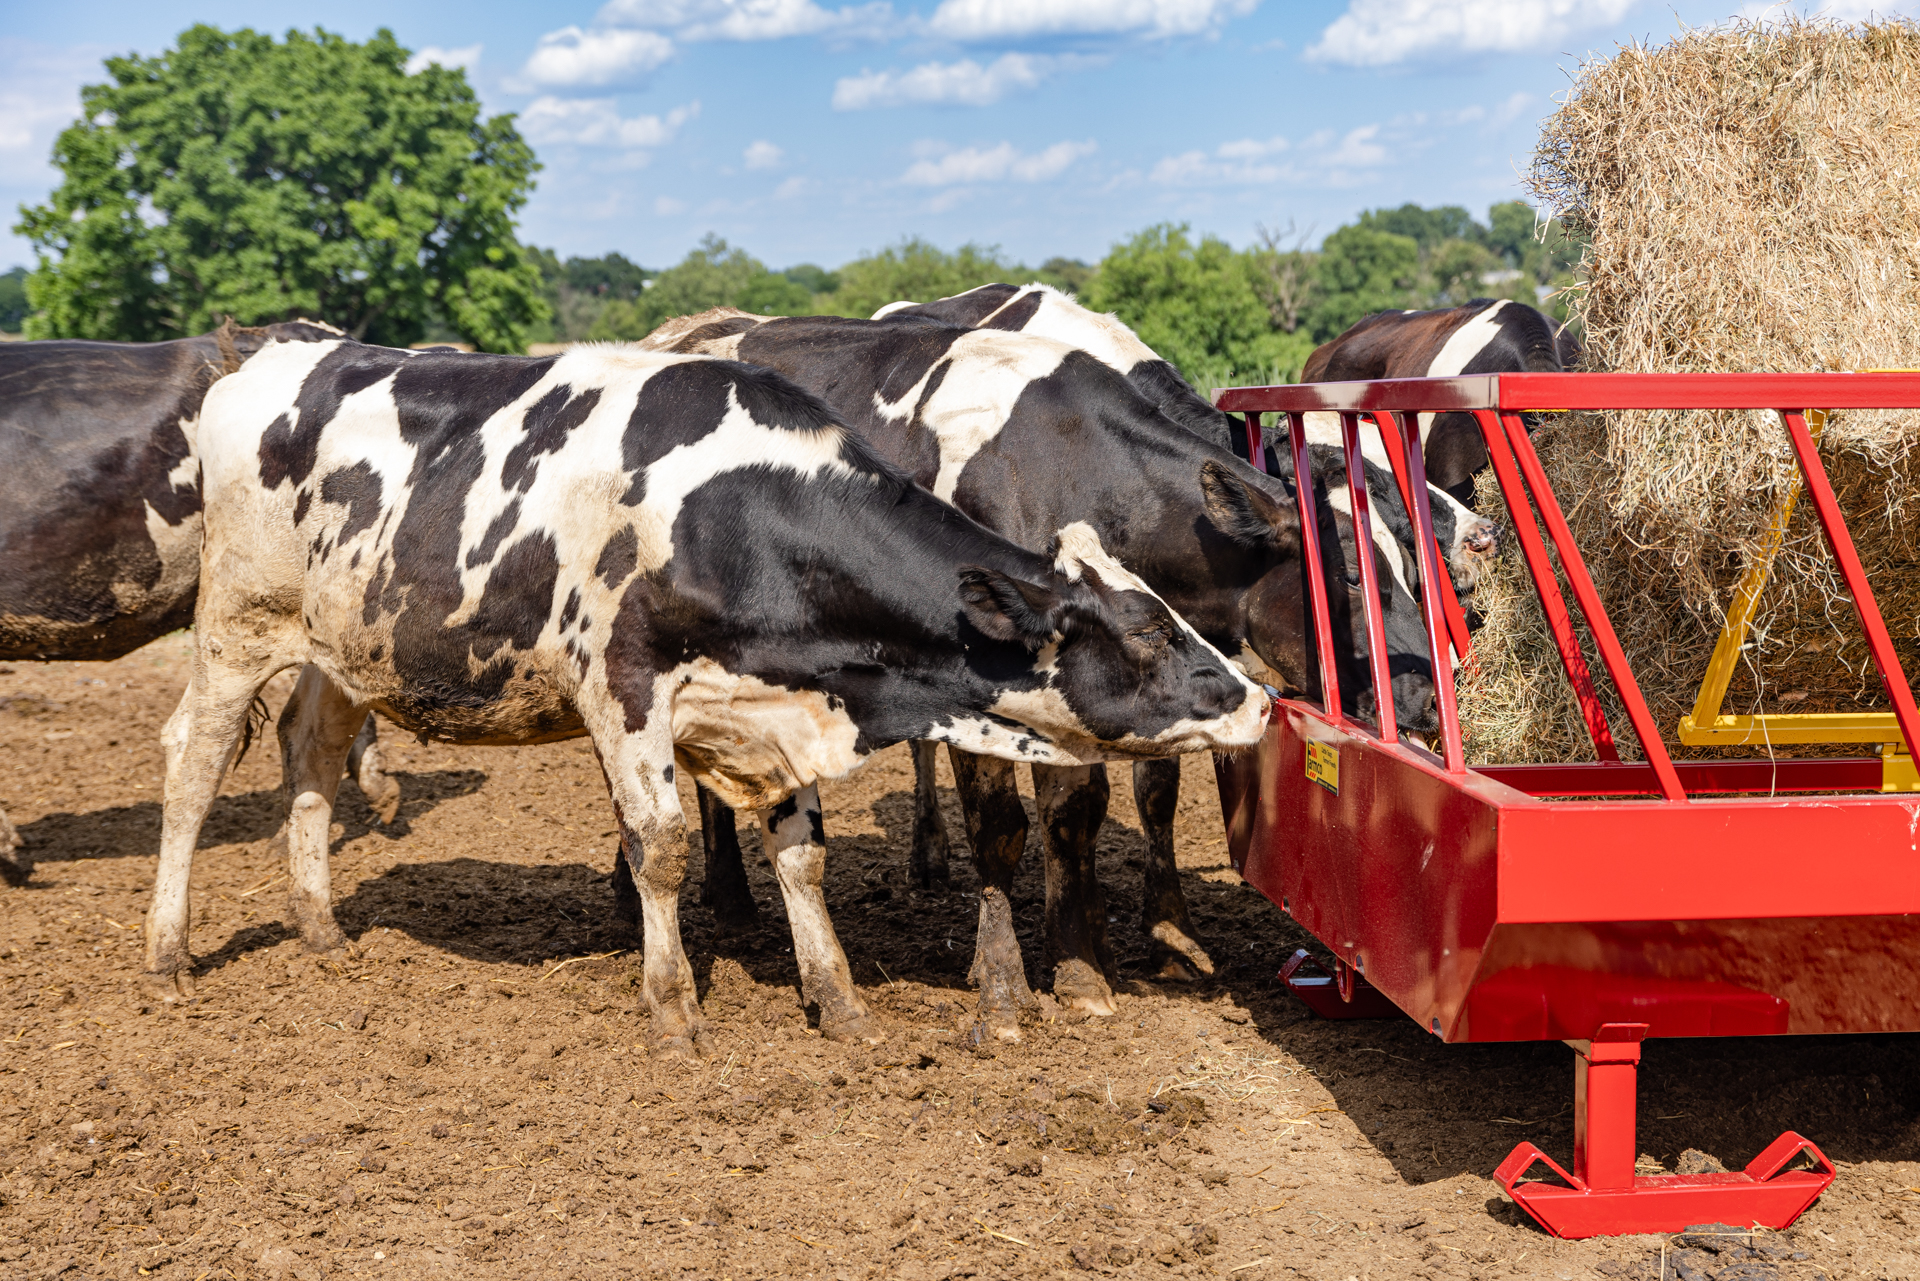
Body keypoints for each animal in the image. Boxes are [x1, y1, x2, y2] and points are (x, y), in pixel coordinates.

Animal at [645, 307, 1443, 1029]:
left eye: (1412, 562)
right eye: (1349, 576)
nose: (1431, 699)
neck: (1065, 468)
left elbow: (1079, 813)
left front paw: (1084, 963)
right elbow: (1001, 827)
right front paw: (1003, 986)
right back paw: (707, 899)